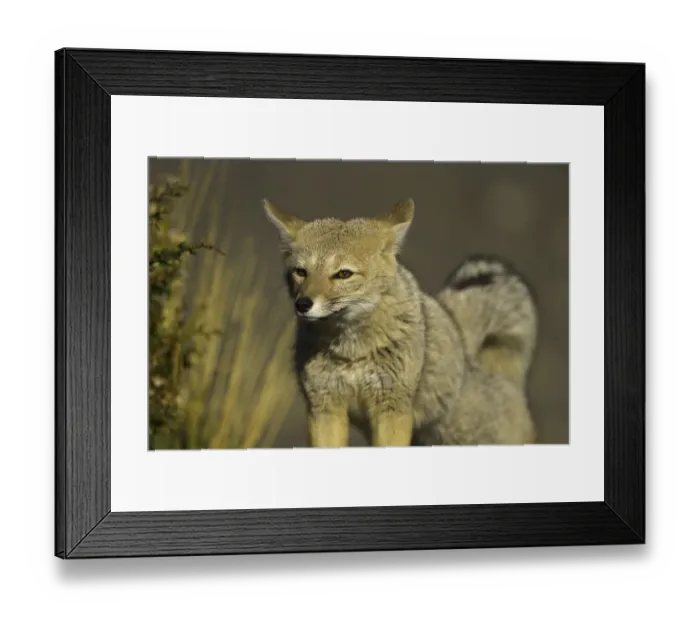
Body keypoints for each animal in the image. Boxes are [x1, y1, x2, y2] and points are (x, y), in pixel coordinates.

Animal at [262, 197, 538, 448]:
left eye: (343, 274)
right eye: (301, 272)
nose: (303, 304)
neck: (351, 351)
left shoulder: (391, 411)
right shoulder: (323, 408)